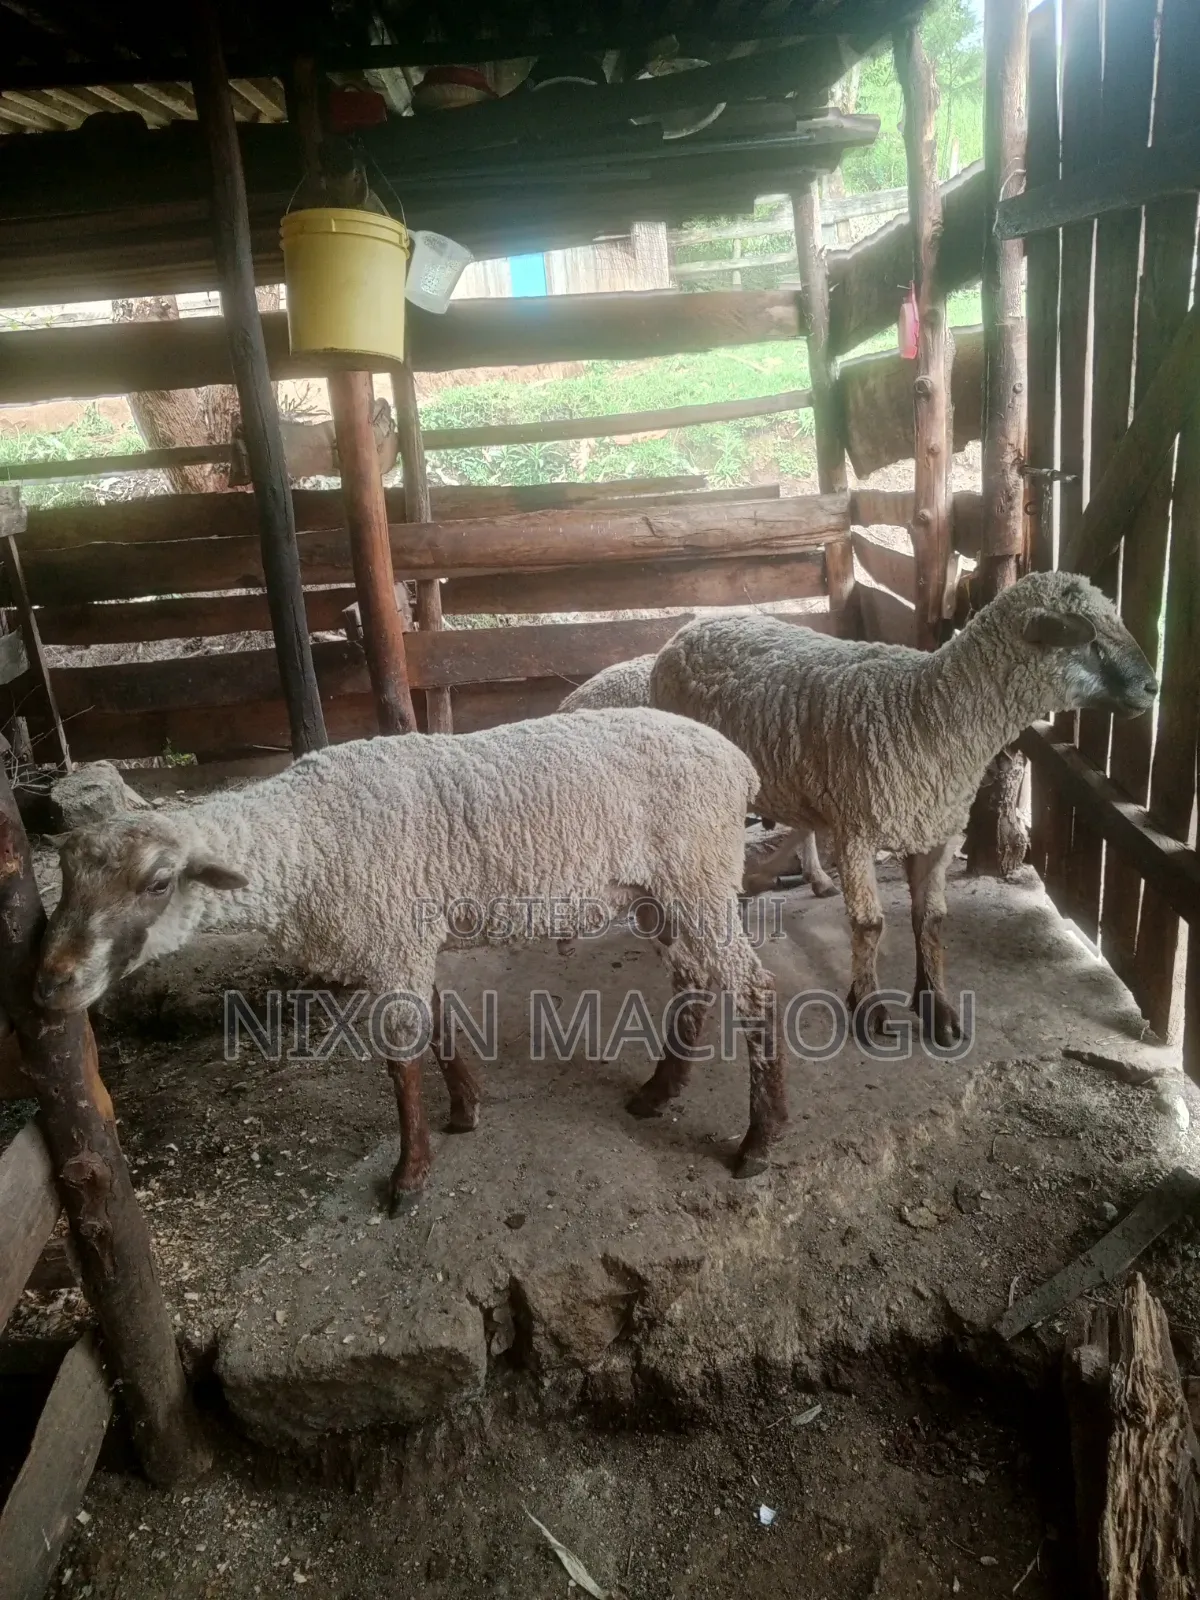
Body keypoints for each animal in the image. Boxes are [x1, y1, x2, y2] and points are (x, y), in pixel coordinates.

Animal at [36, 710, 787, 1208]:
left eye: (158, 883)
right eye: (66, 880)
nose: (50, 982)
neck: (305, 841)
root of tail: (738, 761)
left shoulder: (392, 933)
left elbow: (400, 1062)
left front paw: (409, 1177)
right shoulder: (406, 935)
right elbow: (440, 1021)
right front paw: (466, 1109)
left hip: (698, 870)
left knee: (753, 989)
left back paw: (760, 1141)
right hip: (663, 890)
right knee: (695, 978)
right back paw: (659, 1092)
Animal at [649, 570, 1159, 1047]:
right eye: (1087, 638)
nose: (1152, 687)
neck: (925, 709)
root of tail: (693, 624)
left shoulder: (935, 830)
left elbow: (929, 921)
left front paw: (936, 1007)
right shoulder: (857, 831)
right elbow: (869, 924)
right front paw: (868, 1008)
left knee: (797, 826)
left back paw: (800, 880)